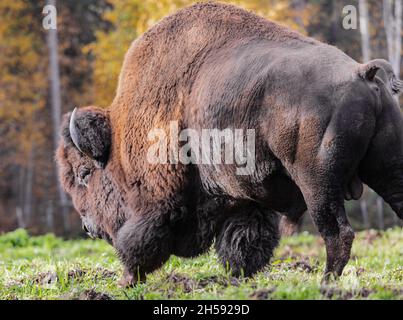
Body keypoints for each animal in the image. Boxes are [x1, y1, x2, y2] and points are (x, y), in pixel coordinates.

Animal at [56, 1, 403, 288]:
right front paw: (238, 277)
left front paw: (127, 280)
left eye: (85, 174)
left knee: (337, 232)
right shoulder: (245, 200)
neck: (119, 138)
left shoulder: (156, 201)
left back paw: (326, 283)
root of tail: (361, 73)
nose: (88, 227)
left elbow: (139, 241)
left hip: (317, 182)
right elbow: (243, 240)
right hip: (386, 167)